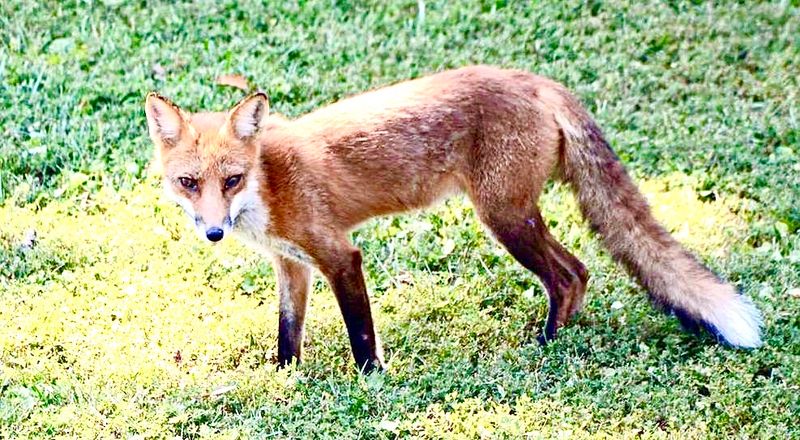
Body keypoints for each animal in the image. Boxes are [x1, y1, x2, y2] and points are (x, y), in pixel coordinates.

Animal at [144, 65, 763, 373]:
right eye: (189, 183)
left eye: (231, 180)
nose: (214, 231)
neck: (269, 183)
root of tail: (537, 80)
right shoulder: (292, 266)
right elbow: (286, 334)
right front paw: (284, 380)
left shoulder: (339, 254)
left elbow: (361, 334)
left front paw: (371, 385)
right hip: (513, 215)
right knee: (581, 272)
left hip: (504, 217)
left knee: (570, 274)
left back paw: (546, 344)